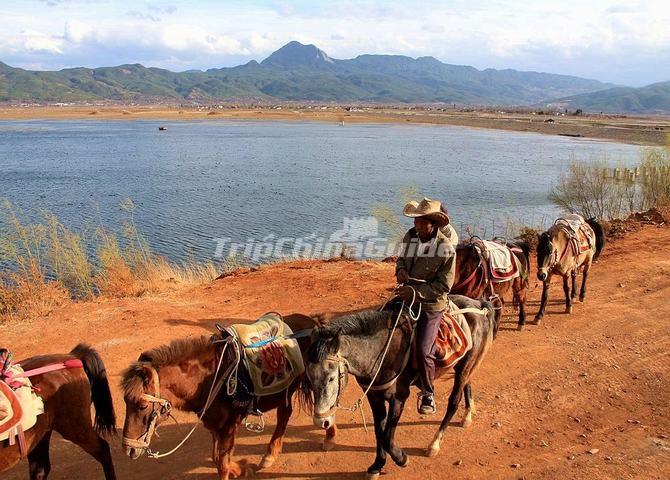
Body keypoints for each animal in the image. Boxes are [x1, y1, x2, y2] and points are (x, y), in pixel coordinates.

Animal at [121, 314, 336, 480]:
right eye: (125, 402)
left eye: (141, 406)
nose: (128, 450)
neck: (210, 378)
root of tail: (314, 322)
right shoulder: (215, 424)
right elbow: (218, 458)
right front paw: (241, 468)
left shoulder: (228, 426)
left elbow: (221, 465)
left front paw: (238, 468)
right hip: (285, 391)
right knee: (285, 414)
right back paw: (271, 454)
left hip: (314, 379)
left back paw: (328, 438)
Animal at [308, 294, 496, 478]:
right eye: (309, 378)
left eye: (331, 378)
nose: (321, 422)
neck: (381, 351)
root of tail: (478, 304)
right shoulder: (374, 396)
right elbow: (379, 431)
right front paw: (377, 466)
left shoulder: (398, 397)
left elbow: (387, 436)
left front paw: (401, 458)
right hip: (463, 365)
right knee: (467, 384)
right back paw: (467, 416)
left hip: (465, 365)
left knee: (453, 402)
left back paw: (434, 444)